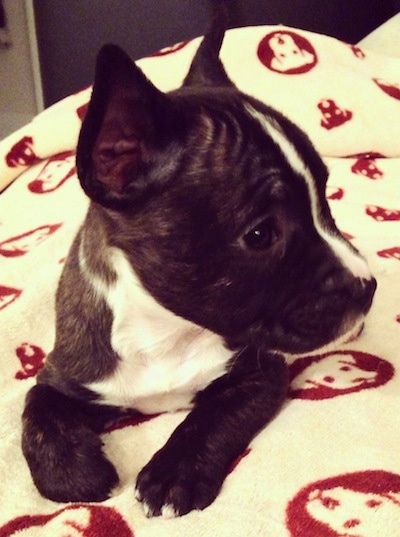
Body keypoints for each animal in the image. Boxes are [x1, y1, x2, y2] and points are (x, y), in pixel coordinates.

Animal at [23, 15, 376, 520]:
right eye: (260, 235)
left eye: (325, 200)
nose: (366, 286)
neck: (166, 331)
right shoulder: (65, 374)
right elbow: (38, 412)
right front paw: (76, 474)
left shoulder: (258, 373)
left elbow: (213, 415)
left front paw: (175, 473)